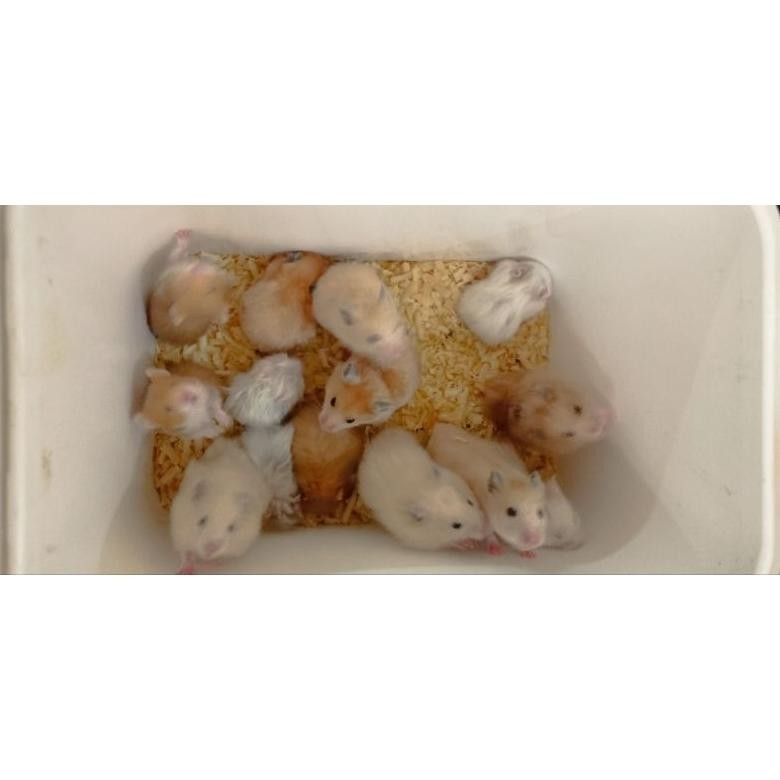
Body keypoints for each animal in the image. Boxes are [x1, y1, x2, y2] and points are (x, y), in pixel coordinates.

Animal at [171, 437, 269, 573]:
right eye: (202, 521)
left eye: (231, 528)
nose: (210, 550)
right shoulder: (180, 532)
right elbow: (185, 554)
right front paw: (185, 571)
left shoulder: (236, 550)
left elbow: (220, 561)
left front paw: (204, 565)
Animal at [427, 422, 547, 556]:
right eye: (510, 512)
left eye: (540, 512)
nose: (535, 541)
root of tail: (439, 426)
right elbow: (489, 534)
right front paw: (496, 551)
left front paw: (530, 554)